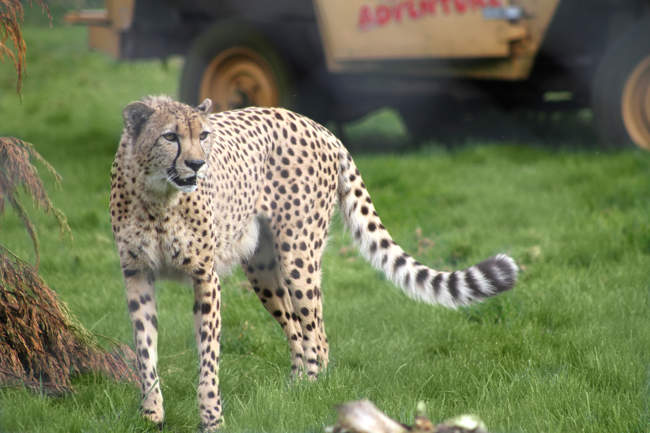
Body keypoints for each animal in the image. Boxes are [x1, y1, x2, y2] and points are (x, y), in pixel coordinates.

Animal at [109, 95, 518, 431]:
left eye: (204, 135)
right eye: (170, 137)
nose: (197, 164)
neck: (158, 195)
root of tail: (318, 126)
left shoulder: (204, 275)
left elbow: (208, 355)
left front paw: (211, 418)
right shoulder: (136, 273)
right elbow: (145, 347)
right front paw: (151, 414)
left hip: (298, 254)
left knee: (317, 333)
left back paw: (315, 390)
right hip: (262, 267)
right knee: (295, 327)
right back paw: (295, 389)